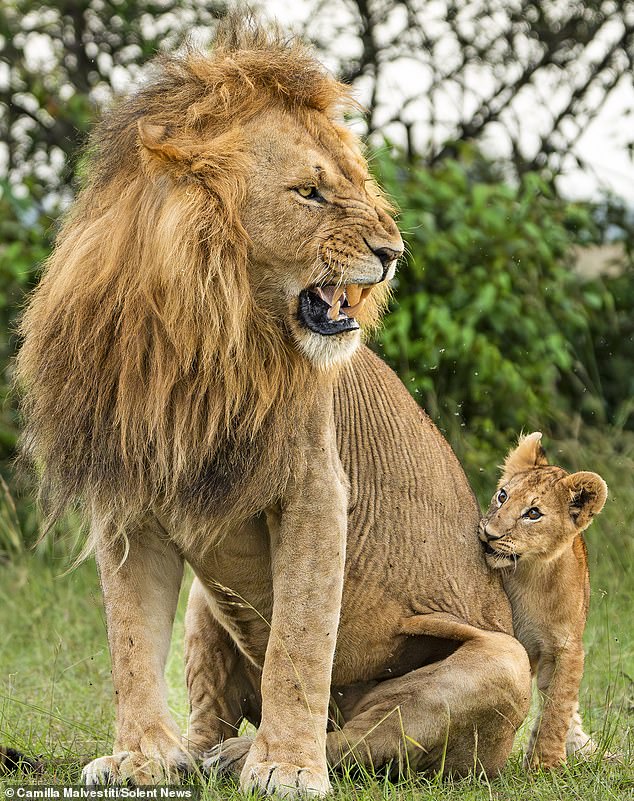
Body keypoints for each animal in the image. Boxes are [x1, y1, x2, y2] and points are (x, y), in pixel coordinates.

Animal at [17, 18, 528, 792]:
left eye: (354, 184)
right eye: (310, 192)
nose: (393, 251)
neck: (202, 338)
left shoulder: (317, 491)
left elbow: (299, 640)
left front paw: (286, 768)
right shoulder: (128, 498)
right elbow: (131, 641)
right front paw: (141, 757)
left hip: (503, 661)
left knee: (357, 735)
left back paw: (248, 757)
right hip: (209, 604)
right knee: (218, 708)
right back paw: (196, 754)